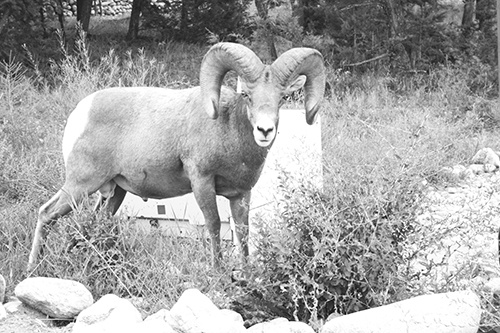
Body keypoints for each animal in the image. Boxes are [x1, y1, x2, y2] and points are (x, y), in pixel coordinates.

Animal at [27, 42, 326, 270]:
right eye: (247, 95)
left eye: (282, 98)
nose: (265, 130)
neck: (228, 130)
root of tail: (80, 112)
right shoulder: (202, 182)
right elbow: (213, 225)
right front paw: (218, 273)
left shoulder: (241, 195)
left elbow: (243, 233)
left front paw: (247, 275)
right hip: (80, 185)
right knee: (46, 213)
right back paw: (33, 268)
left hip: (113, 193)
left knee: (93, 222)